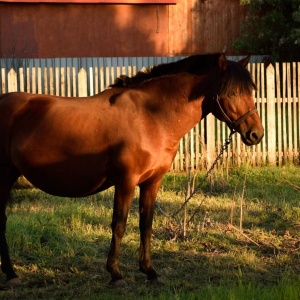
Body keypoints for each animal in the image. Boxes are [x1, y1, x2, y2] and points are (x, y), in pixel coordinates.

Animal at [0, 52, 262, 288]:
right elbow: (119, 225)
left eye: (250, 91)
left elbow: (146, 224)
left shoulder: (152, 182)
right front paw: (115, 274)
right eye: (232, 92)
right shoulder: (126, 182)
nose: (256, 134)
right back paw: (11, 275)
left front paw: (150, 271)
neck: (150, 116)